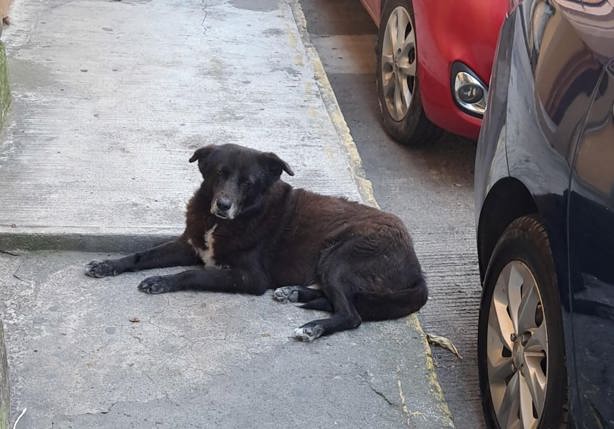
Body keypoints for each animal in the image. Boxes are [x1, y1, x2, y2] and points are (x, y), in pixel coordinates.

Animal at [86, 144, 428, 342]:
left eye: (247, 182)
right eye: (218, 173)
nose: (223, 205)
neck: (222, 222)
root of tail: (417, 266)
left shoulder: (249, 277)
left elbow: (194, 273)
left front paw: (161, 281)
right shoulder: (190, 245)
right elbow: (141, 255)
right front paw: (107, 264)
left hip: (340, 256)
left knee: (352, 313)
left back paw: (312, 327)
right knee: (344, 299)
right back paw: (293, 292)